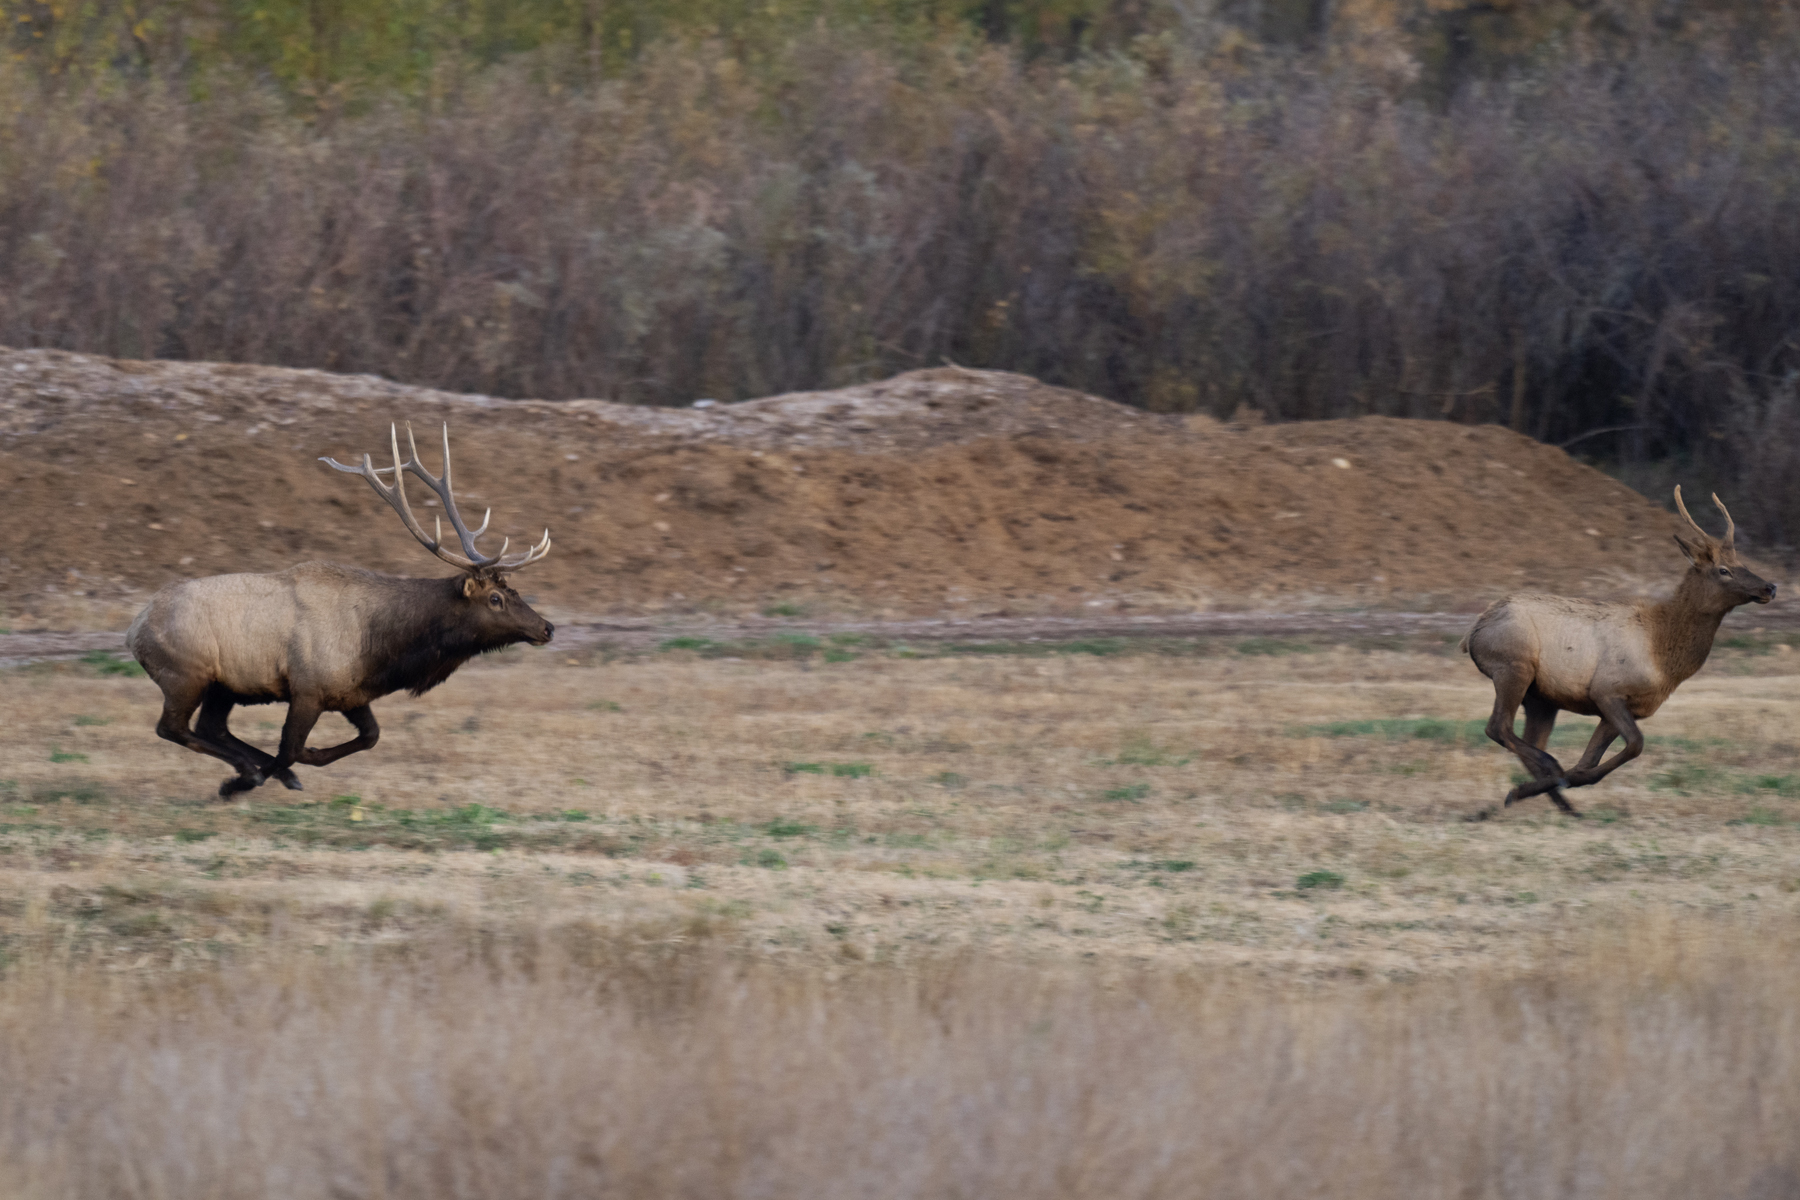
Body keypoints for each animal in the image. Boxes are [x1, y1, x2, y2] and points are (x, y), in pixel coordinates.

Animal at [127, 424, 550, 798]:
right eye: (495, 599)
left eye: (513, 591)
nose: (547, 628)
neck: (383, 649)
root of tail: (134, 629)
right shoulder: (308, 688)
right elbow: (292, 748)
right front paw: (248, 781)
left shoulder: (351, 693)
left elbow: (369, 737)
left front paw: (274, 772)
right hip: (186, 675)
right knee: (173, 728)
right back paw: (249, 773)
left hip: (224, 685)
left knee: (210, 728)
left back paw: (253, 769)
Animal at [1461, 485, 1771, 816]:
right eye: (1724, 570)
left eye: (1743, 564)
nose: (1769, 587)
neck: (1663, 658)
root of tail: (1473, 631)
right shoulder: (1607, 691)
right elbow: (1635, 745)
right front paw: (1556, 780)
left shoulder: (1623, 708)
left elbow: (1589, 761)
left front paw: (1559, 783)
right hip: (1513, 667)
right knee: (1498, 727)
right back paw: (1547, 773)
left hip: (1541, 698)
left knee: (1527, 739)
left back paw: (1559, 802)